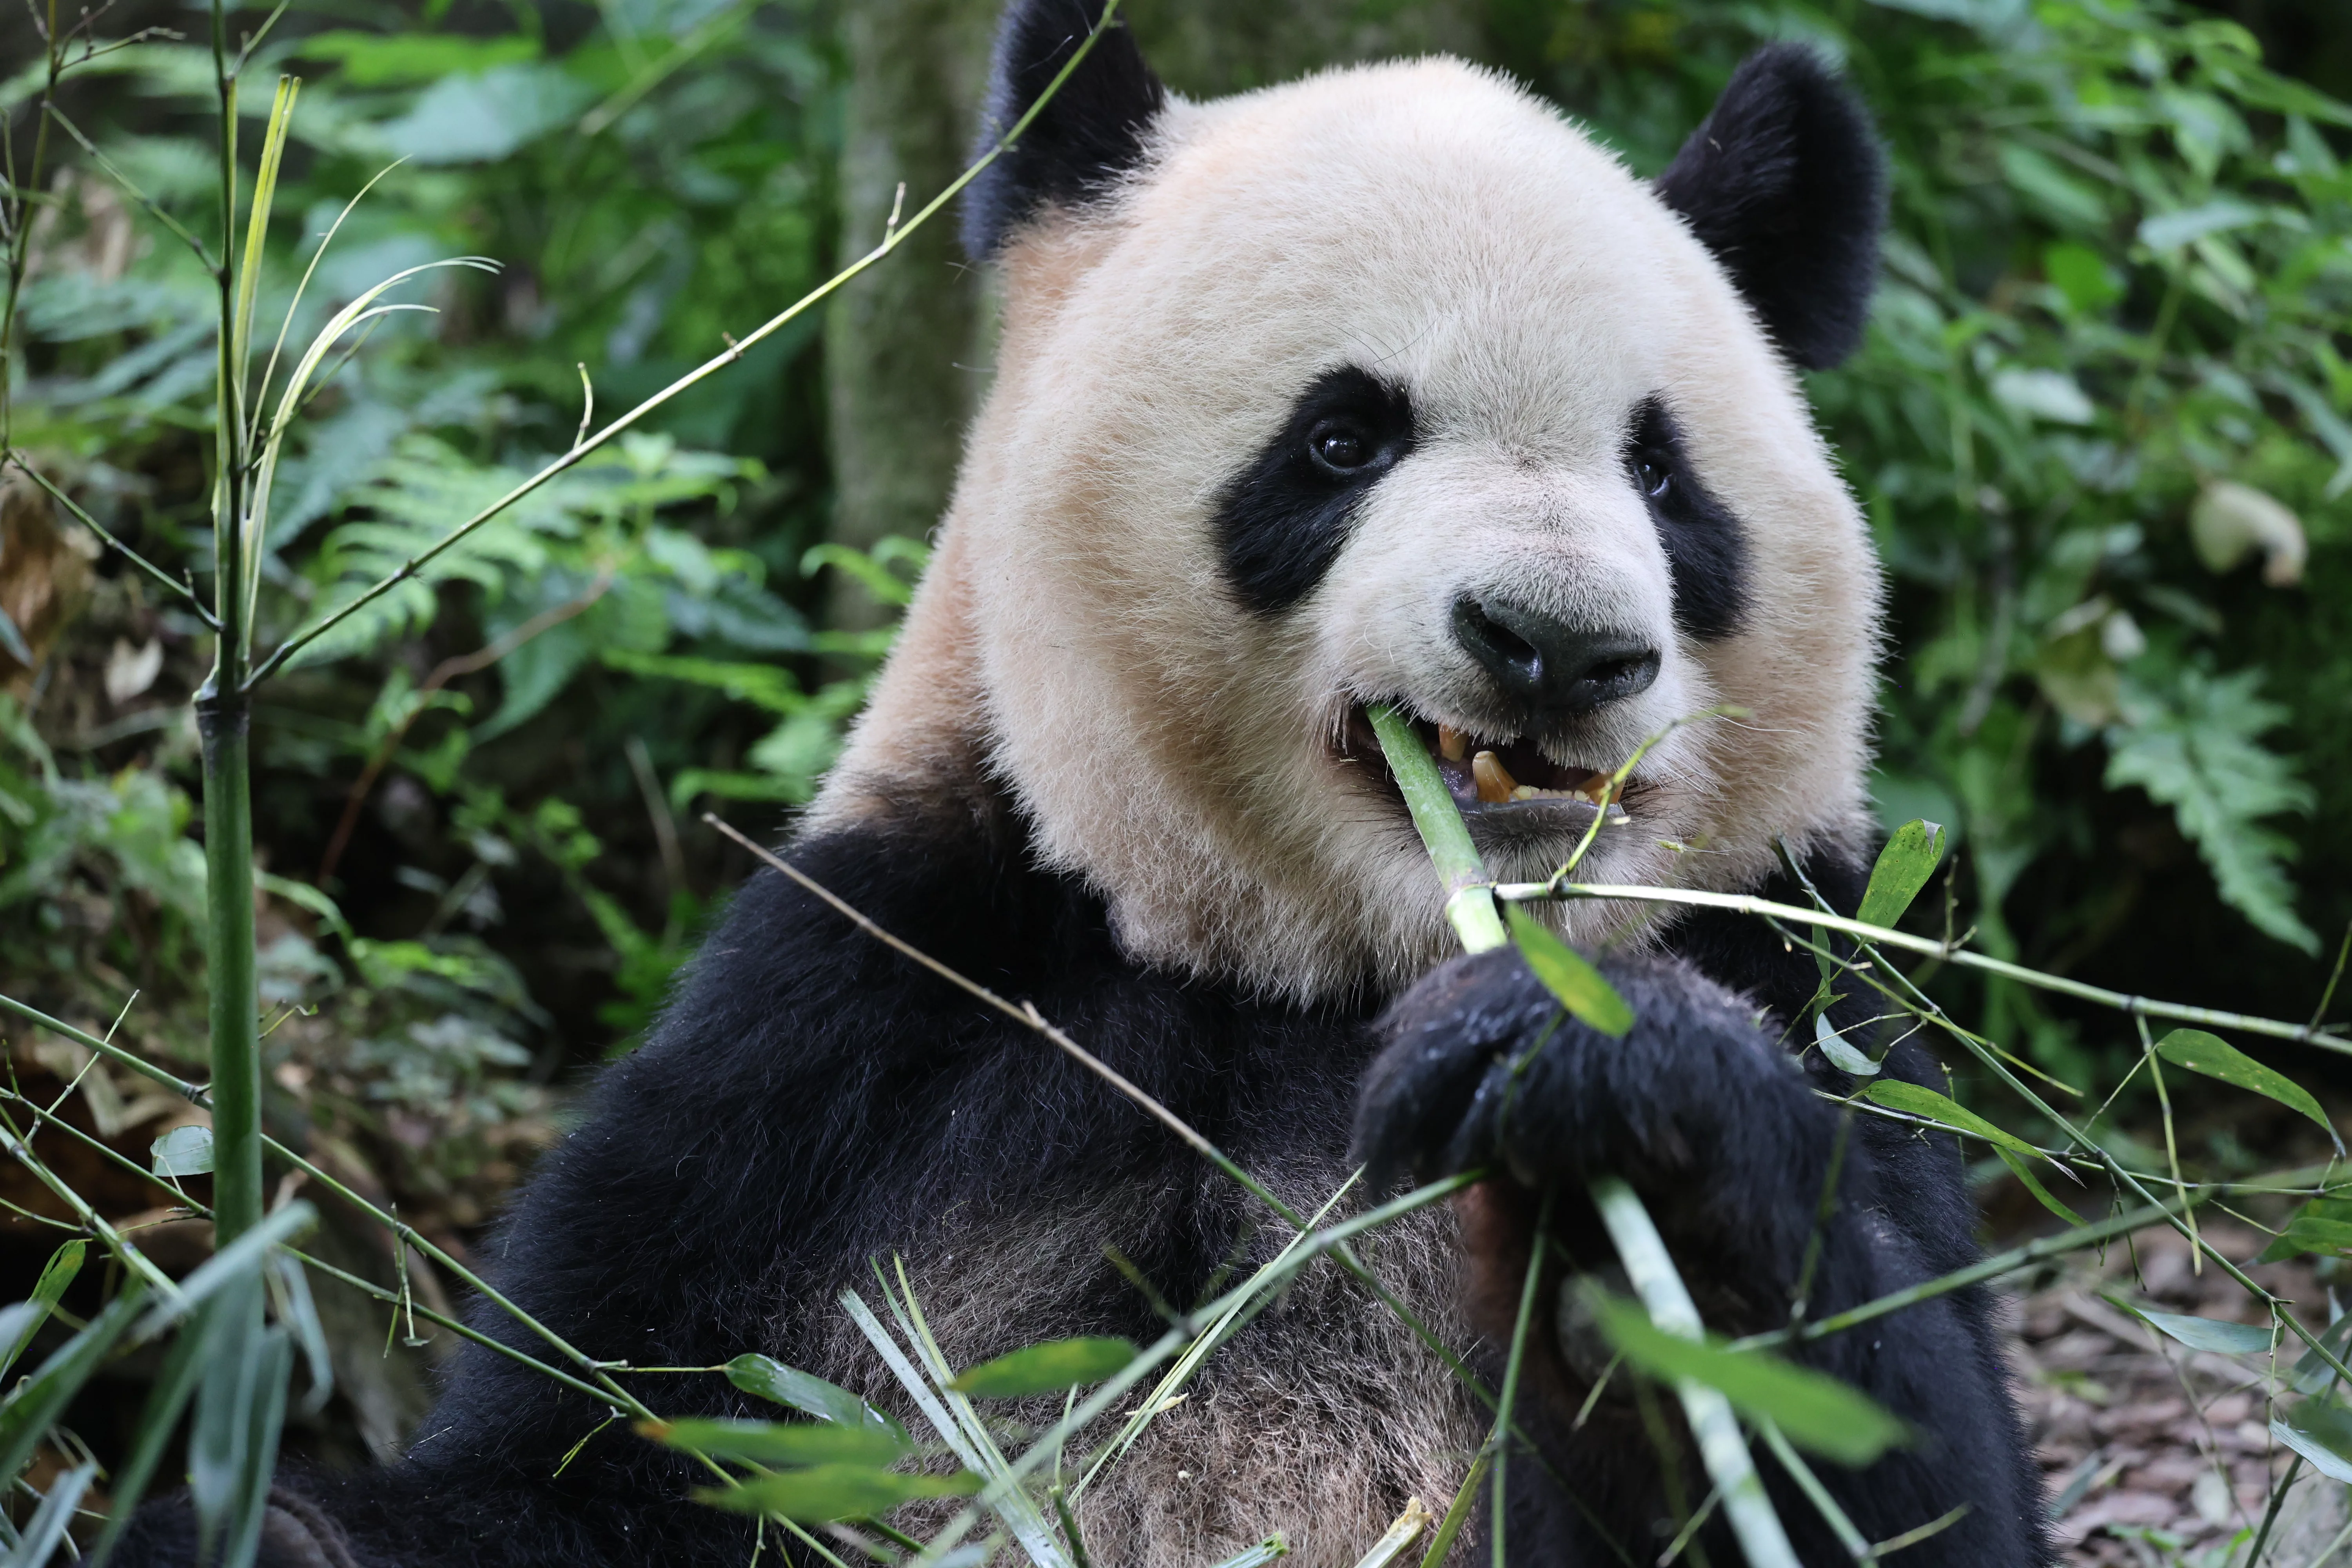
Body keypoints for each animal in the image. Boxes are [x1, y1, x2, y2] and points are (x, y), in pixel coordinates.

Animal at [126, 2, 2050, 1563]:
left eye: (1660, 475)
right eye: (1340, 437)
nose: (1554, 645)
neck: (1334, 965)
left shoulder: (1803, 967)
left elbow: (1902, 1467)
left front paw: (1599, 1098)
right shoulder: (874, 1013)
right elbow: (584, 1451)